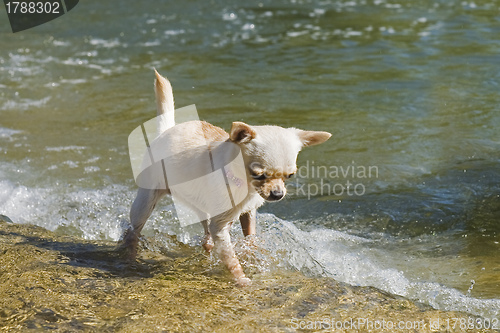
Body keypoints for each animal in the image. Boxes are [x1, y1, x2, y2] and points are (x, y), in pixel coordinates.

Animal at [121, 70, 332, 286]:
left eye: (290, 176)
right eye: (258, 174)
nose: (277, 194)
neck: (245, 186)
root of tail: (167, 130)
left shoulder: (248, 212)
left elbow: (250, 237)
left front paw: (253, 255)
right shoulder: (220, 226)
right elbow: (231, 258)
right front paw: (241, 278)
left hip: (202, 206)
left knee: (206, 237)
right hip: (146, 200)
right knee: (133, 231)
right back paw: (130, 257)